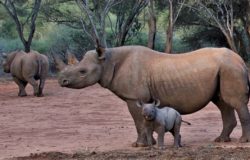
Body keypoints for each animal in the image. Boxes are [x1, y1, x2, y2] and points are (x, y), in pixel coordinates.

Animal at [55, 44, 250, 146]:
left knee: (236, 102)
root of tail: (241, 60)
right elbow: (143, 121)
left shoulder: (133, 97)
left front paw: (139, 145)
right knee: (222, 103)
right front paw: (151, 143)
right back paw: (221, 140)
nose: (61, 81)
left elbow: (137, 121)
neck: (108, 61)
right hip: (225, 69)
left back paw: (242, 141)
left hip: (229, 68)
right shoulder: (141, 98)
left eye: (82, 72)